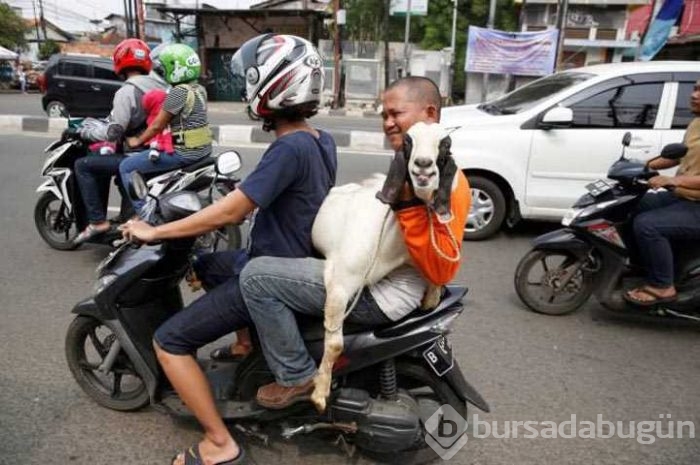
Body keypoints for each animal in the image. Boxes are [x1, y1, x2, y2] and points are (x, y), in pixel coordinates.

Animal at [308, 119, 456, 410]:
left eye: (445, 144)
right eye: (408, 140)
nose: (423, 166)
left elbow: (434, 274)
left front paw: (431, 298)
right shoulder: (340, 281)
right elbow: (335, 344)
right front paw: (319, 394)